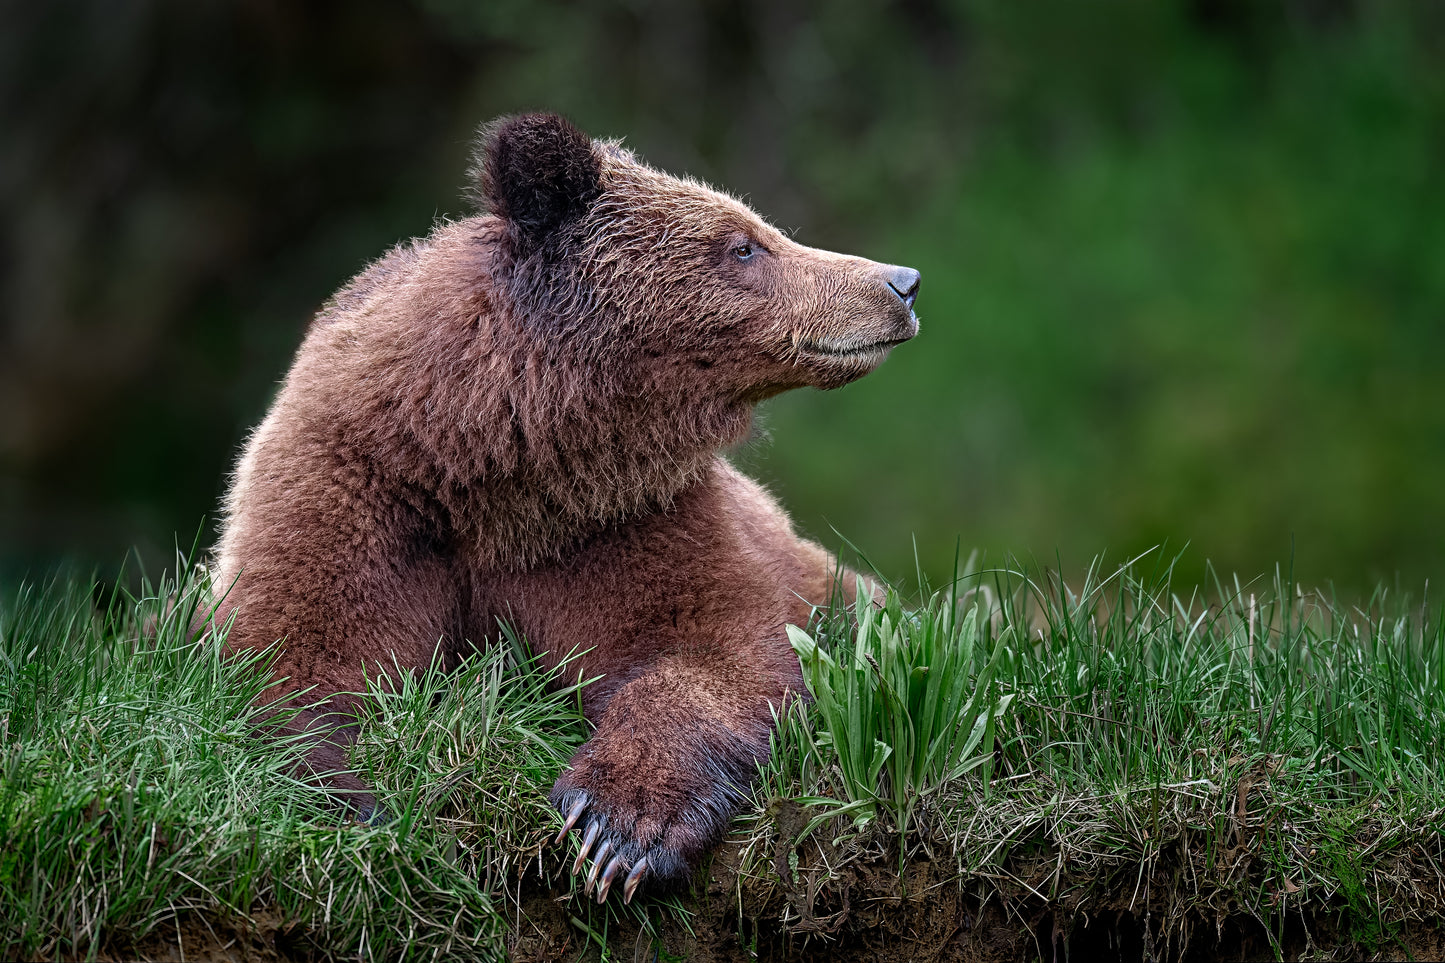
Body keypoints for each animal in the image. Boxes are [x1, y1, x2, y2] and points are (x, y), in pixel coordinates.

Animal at [212, 110, 919, 902]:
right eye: (743, 245)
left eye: (757, 230)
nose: (901, 282)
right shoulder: (359, 491)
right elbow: (300, 657)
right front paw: (361, 803)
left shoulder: (624, 518)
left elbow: (718, 645)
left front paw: (615, 826)